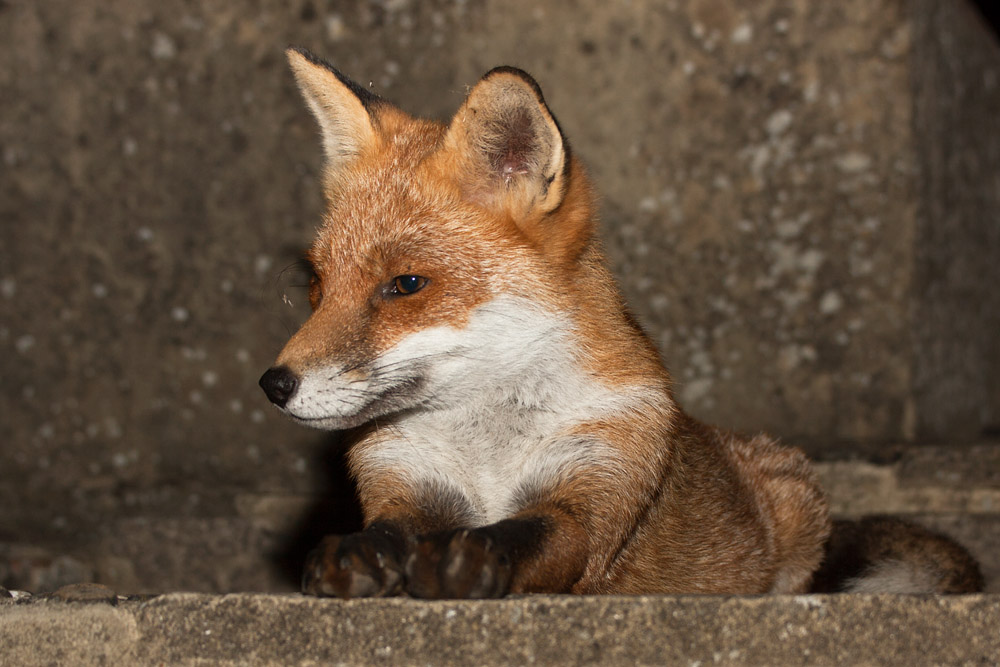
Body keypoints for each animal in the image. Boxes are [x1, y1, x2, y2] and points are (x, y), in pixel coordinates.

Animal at [259, 47, 984, 599]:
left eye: (406, 285)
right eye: (317, 285)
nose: (274, 384)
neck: (488, 450)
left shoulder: (596, 490)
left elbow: (531, 531)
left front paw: (474, 556)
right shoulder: (405, 481)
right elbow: (387, 529)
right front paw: (355, 553)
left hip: (797, 500)